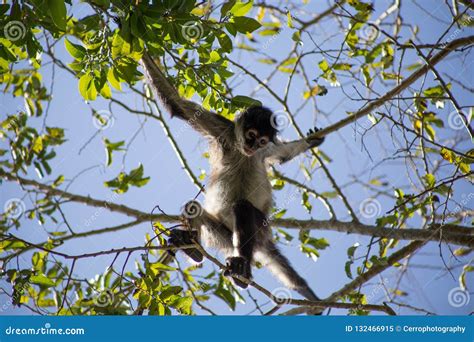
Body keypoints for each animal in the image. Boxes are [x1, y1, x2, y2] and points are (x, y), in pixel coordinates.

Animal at [142, 52, 326, 300]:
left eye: (262, 141)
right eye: (251, 135)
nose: (252, 146)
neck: (243, 152)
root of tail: (265, 240)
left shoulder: (265, 152)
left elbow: (284, 154)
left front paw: (311, 140)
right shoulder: (223, 129)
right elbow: (177, 104)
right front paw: (140, 50)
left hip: (260, 228)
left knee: (242, 207)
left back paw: (241, 269)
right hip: (224, 237)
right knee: (193, 207)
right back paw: (194, 249)